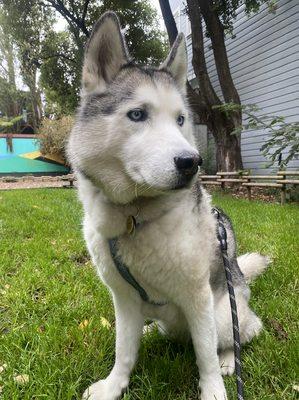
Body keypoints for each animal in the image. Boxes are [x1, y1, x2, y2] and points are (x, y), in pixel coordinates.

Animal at [68, 10, 270, 398]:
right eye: (137, 115)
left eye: (180, 120)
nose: (192, 162)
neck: (133, 217)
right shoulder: (123, 299)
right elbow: (123, 351)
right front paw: (113, 386)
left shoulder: (197, 296)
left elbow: (205, 355)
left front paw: (213, 390)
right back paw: (150, 331)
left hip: (225, 313)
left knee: (242, 333)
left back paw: (229, 359)